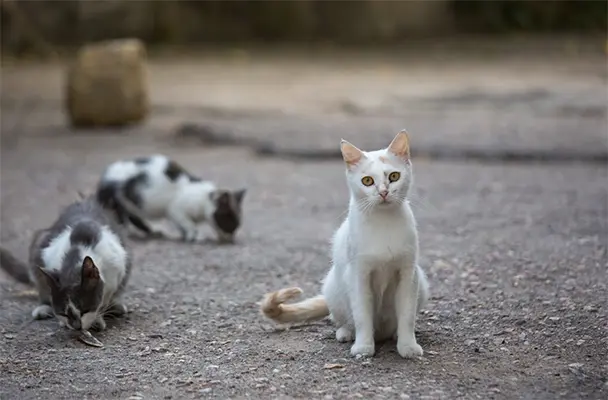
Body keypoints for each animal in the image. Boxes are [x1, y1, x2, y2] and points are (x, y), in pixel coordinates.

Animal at [0, 196, 132, 332]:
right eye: (63, 313)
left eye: (85, 310)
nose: (77, 326)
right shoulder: (47, 255)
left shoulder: (117, 265)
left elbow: (106, 297)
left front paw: (97, 319)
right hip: (39, 243)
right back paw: (43, 308)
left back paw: (116, 305)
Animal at [260, 131, 428, 360]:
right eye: (367, 181)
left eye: (394, 176)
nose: (383, 192)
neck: (383, 222)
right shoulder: (358, 274)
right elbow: (362, 314)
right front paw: (364, 347)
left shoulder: (408, 274)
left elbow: (407, 315)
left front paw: (408, 346)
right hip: (334, 286)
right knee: (341, 318)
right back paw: (346, 333)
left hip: (422, 283)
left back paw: (393, 334)